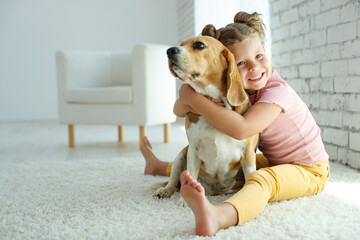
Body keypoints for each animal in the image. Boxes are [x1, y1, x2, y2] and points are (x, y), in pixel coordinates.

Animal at [154, 36, 258, 206]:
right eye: (181, 44)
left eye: (199, 45)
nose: (169, 50)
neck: (214, 102)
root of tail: (215, 191)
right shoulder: (193, 150)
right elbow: (190, 175)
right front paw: (185, 200)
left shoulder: (248, 153)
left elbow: (251, 175)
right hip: (181, 156)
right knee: (174, 180)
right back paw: (166, 190)